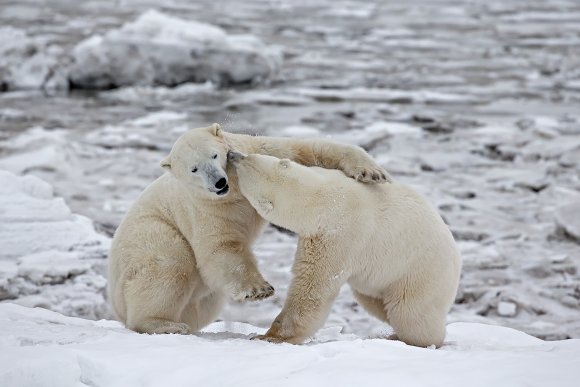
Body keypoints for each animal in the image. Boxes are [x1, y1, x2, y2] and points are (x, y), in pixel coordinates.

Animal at [109, 123, 390, 334]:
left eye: (214, 155)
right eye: (194, 169)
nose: (218, 182)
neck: (233, 190)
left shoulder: (256, 150)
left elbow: (304, 153)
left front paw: (370, 172)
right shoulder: (203, 209)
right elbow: (222, 245)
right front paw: (259, 290)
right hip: (153, 232)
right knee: (168, 265)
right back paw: (164, 324)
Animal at [229, 152, 460, 348]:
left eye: (245, 161)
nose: (232, 155)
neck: (324, 196)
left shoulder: (339, 234)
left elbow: (313, 287)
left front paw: (269, 336)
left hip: (419, 272)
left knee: (409, 313)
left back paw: (410, 338)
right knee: (376, 303)